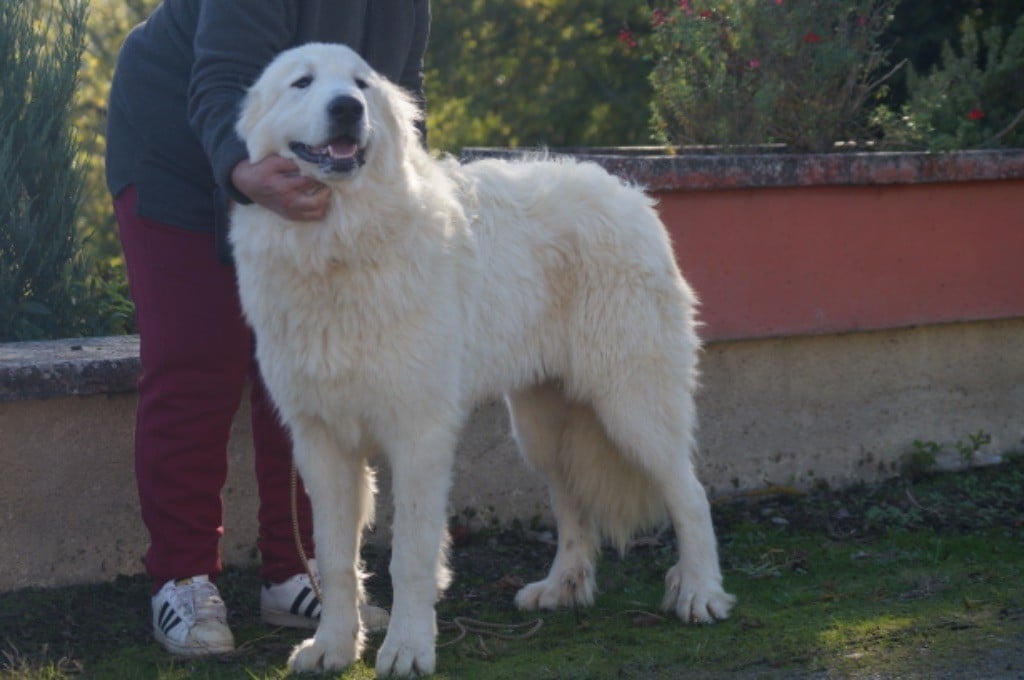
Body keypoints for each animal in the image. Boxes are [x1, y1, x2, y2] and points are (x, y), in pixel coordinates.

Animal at [231, 43, 735, 677]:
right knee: (573, 502)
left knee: (691, 495)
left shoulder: (419, 434)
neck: (339, 244)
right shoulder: (321, 441)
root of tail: (631, 193)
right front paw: (333, 647)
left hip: (632, 406)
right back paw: (563, 587)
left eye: (361, 85)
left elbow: (410, 555)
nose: (346, 108)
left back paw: (699, 592)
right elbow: (336, 558)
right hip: (543, 426)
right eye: (302, 83)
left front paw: (407, 648)